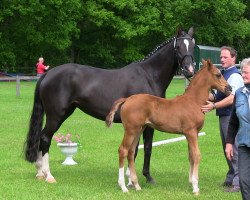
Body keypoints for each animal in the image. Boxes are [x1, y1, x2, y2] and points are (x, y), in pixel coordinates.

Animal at [24, 26, 196, 183]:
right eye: (178, 47)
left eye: (193, 46)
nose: (190, 70)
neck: (148, 76)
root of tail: (48, 74)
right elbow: (145, 148)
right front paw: (145, 177)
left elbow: (136, 149)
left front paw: (131, 175)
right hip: (56, 115)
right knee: (45, 138)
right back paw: (48, 175)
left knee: (41, 137)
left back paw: (40, 172)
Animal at [105, 59, 230, 194]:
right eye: (218, 74)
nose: (229, 88)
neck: (194, 101)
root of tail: (127, 99)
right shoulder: (190, 132)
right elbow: (197, 155)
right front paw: (196, 187)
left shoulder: (193, 133)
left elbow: (191, 156)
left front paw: (191, 182)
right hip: (131, 130)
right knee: (123, 150)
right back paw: (123, 186)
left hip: (139, 130)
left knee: (131, 152)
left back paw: (137, 185)